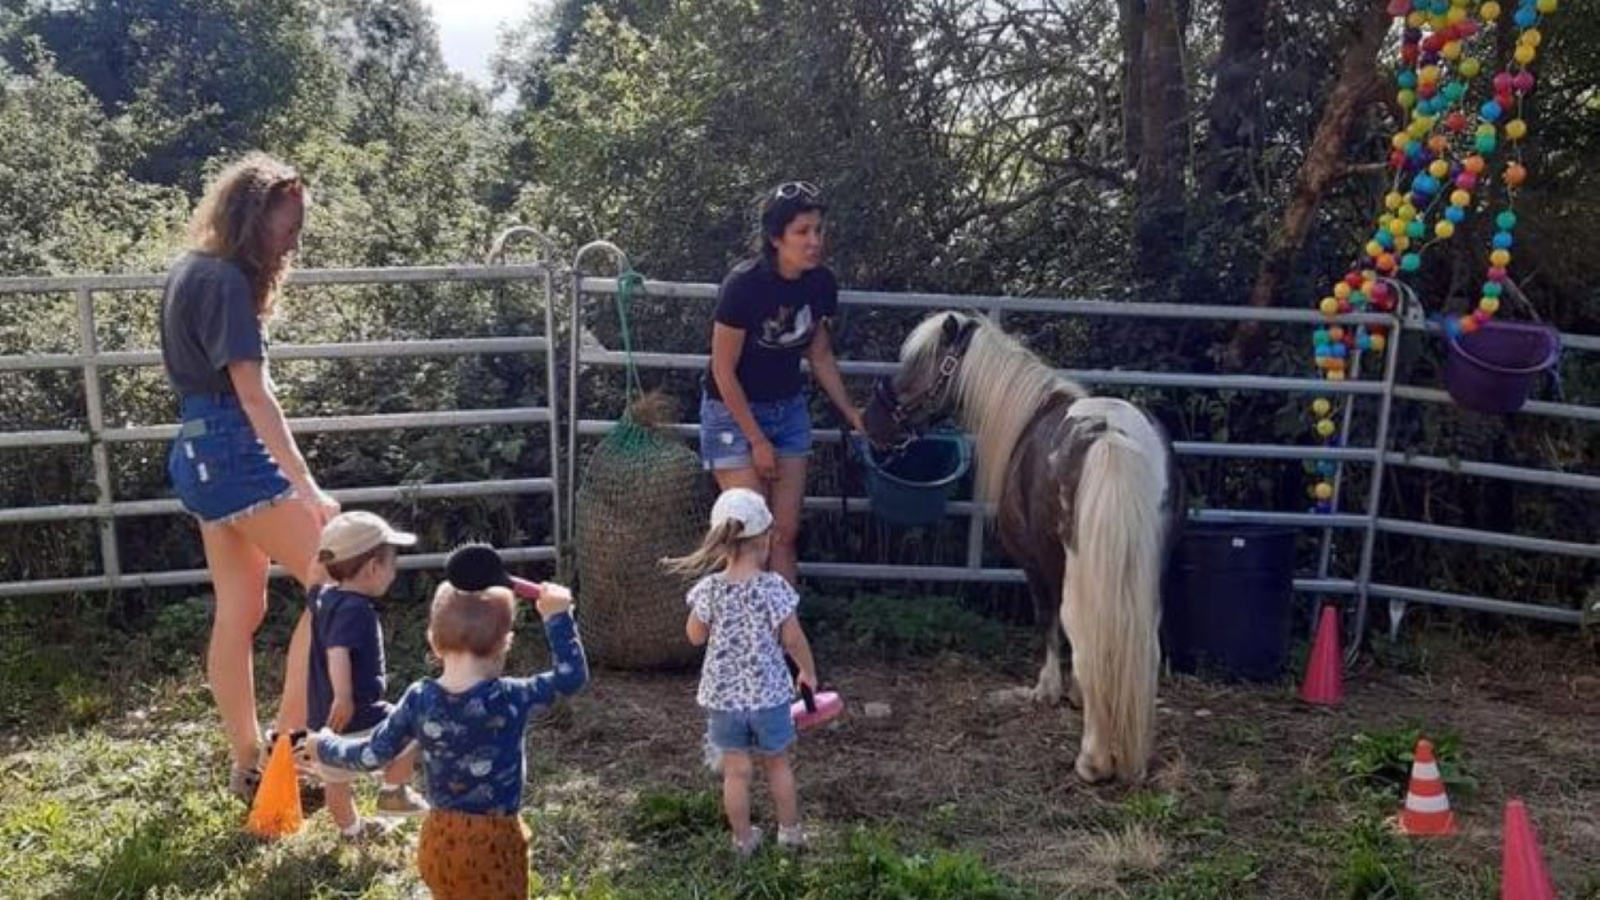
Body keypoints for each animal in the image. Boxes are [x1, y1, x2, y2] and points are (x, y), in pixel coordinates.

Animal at [864, 307, 1190, 778]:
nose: (872, 419)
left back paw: (1093, 761)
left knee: (1085, 638)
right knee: (1144, 646)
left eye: (920, 363)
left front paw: (1050, 690)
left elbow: (1050, 624)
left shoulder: (1036, 565)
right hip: (1146, 572)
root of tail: (1109, 436)